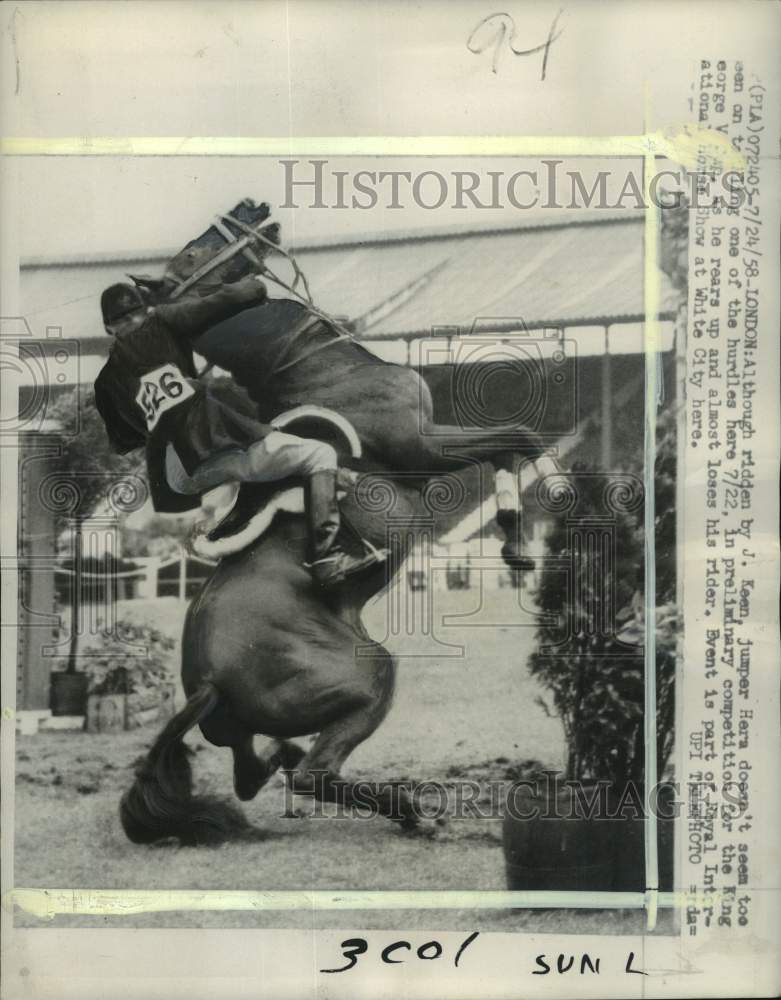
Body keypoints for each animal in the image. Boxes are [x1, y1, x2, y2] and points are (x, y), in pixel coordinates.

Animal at [119, 201, 556, 844]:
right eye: (195, 254)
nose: (251, 208)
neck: (322, 369)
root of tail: (207, 681)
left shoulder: (432, 448)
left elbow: (507, 450)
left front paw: (517, 545)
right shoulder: (423, 450)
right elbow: (520, 437)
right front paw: (554, 488)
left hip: (243, 729)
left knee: (253, 775)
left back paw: (295, 760)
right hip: (368, 674)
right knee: (314, 775)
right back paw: (411, 812)